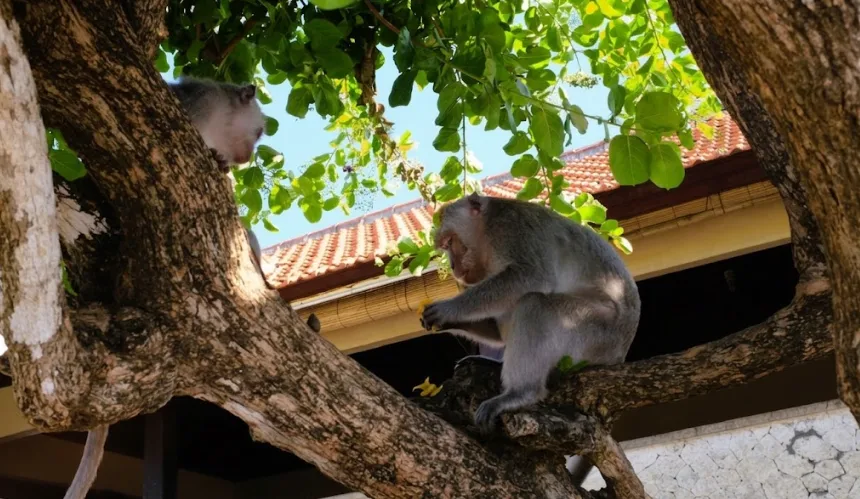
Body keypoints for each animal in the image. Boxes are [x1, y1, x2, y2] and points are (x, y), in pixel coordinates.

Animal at [420, 192, 640, 483]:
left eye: (450, 242)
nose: (454, 267)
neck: (486, 233)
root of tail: (620, 354)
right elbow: (498, 327)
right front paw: (448, 321)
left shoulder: (510, 228)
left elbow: (530, 276)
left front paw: (449, 309)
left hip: (595, 332)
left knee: (535, 305)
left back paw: (520, 393)